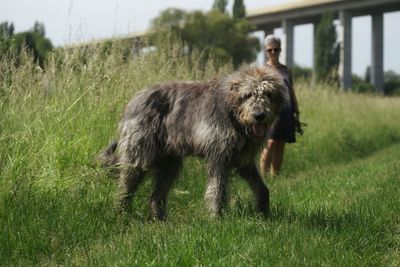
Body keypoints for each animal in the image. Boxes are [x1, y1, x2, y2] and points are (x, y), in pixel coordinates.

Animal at [100, 65, 288, 220]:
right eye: (247, 95)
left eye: (268, 94)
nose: (259, 115)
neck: (233, 115)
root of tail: (134, 99)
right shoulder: (218, 156)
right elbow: (217, 189)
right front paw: (217, 218)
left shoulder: (244, 160)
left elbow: (261, 188)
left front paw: (264, 213)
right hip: (138, 152)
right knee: (126, 184)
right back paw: (121, 213)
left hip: (170, 162)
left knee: (157, 194)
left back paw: (159, 219)